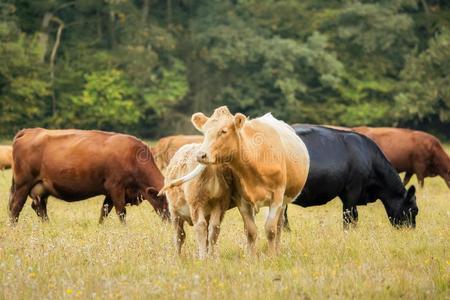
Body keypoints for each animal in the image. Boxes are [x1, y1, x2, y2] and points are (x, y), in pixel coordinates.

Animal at [8, 127, 171, 224]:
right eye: (167, 202)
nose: (172, 222)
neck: (133, 157)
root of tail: (30, 131)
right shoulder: (116, 187)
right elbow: (121, 212)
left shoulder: (110, 192)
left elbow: (104, 212)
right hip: (23, 184)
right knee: (15, 207)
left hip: (41, 188)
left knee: (39, 207)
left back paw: (48, 225)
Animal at [163, 106, 312, 255]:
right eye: (204, 132)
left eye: (223, 131)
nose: (201, 155)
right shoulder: (242, 199)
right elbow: (251, 231)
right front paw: (251, 257)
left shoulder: (277, 196)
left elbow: (270, 230)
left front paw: (271, 257)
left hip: (283, 200)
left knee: (279, 226)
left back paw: (277, 251)